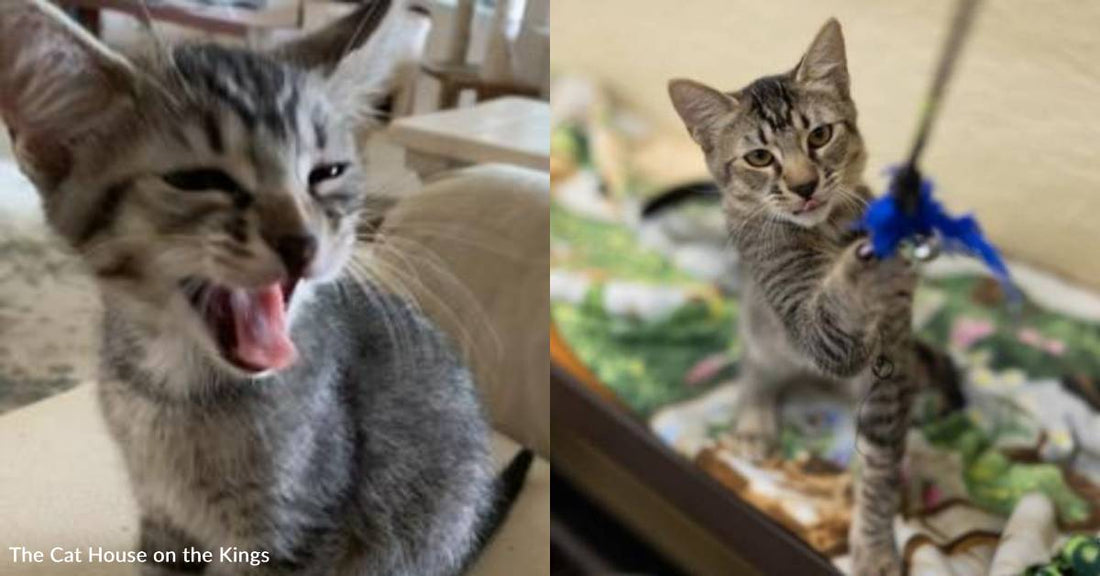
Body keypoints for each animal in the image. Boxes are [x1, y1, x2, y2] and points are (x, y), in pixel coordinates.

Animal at [0, 2, 532, 571]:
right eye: (197, 180)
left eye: (328, 172)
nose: (300, 240)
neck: (175, 387)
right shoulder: (163, 521)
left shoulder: (298, 531)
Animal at [664, 19, 950, 576]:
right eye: (759, 157)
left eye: (820, 135)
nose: (804, 184)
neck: (827, 231)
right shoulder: (802, 316)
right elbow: (831, 309)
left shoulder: (888, 369)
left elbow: (880, 467)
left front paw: (875, 544)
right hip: (760, 328)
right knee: (756, 368)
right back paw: (754, 423)